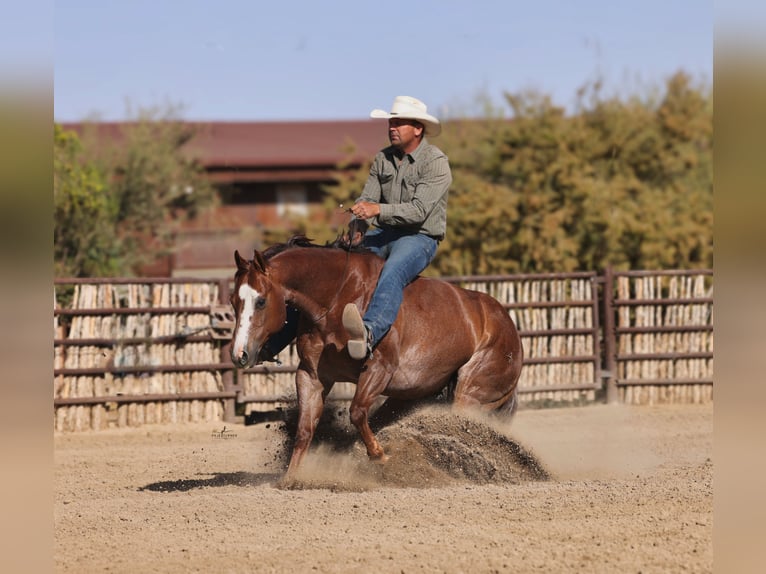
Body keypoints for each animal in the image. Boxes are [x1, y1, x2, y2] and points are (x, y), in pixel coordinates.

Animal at [229, 235, 523, 479]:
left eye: (261, 301)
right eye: (233, 301)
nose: (239, 354)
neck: (339, 298)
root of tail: (507, 324)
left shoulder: (379, 369)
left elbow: (357, 411)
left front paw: (379, 455)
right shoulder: (311, 375)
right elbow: (305, 429)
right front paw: (291, 478)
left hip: (471, 393)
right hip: (410, 397)